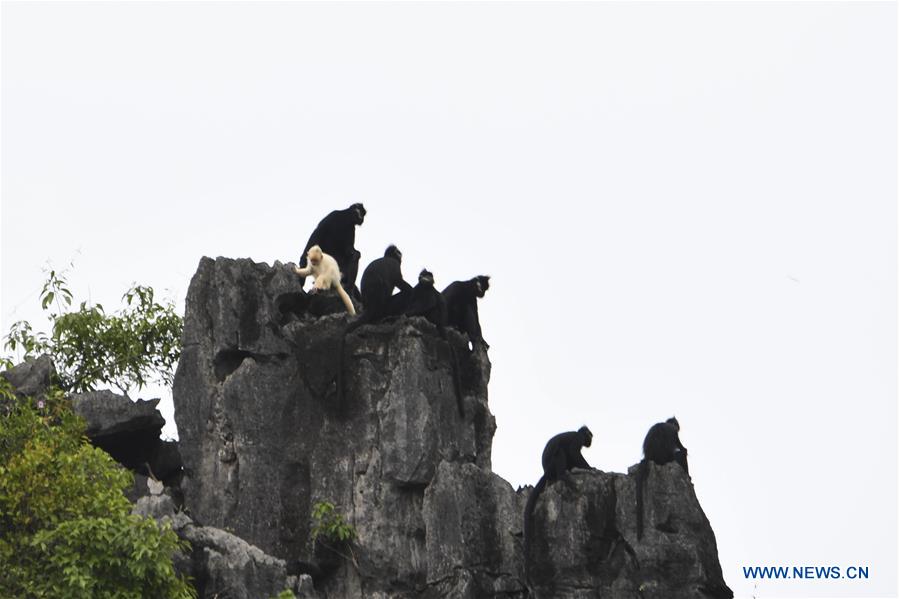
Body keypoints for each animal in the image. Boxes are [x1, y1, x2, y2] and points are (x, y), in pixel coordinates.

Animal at [406, 270, 464, 418]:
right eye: (424, 275)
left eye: (429, 276)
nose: (425, 278)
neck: (424, 287)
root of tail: (441, 325)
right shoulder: (417, 289)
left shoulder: (428, 292)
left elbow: (428, 303)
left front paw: (407, 313)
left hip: (434, 317)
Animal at [524, 426, 596, 584]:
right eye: (590, 436)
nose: (591, 440)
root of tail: (546, 472)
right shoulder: (577, 439)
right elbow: (574, 452)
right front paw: (591, 468)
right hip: (553, 465)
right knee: (560, 452)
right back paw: (563, 475)